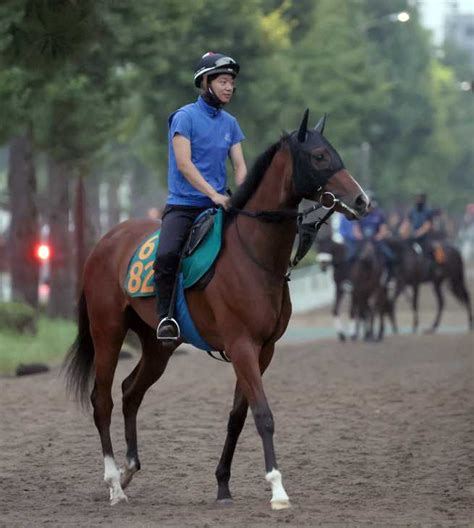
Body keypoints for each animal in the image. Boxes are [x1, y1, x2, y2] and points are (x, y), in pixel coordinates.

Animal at [63, 111, 368, 512]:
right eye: (319, 156)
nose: (362, 200)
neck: (253, 255)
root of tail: (103, 243)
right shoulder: (241, 346)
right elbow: (263, 414)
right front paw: (278, 489)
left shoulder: (263, 350)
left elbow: (238, 416)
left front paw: (223, 484)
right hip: (107, 332)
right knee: (103, 400)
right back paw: (115, 484)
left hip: (158, 345)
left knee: (131, 391)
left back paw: (130, 470)